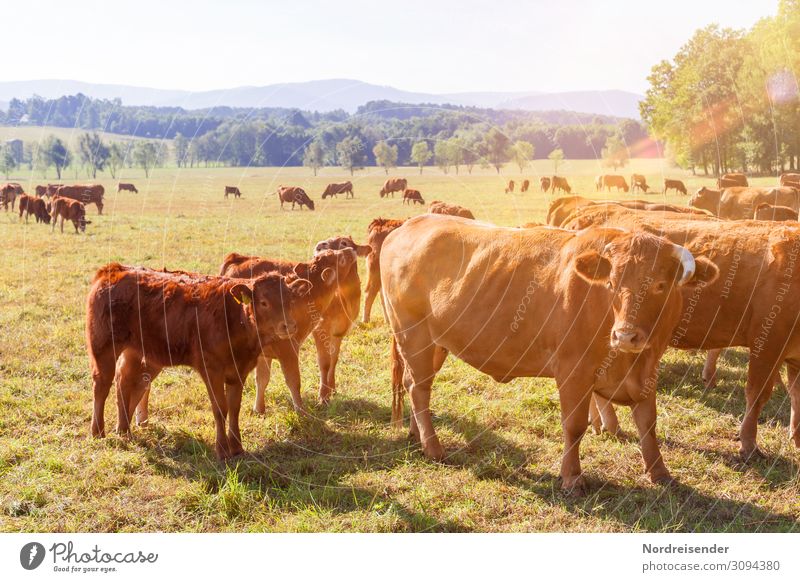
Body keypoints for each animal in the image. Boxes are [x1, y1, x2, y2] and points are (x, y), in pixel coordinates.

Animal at [86, 264, 308, 460]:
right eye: (263, 302)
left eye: (290, 299)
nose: (288, 325)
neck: (235, 318)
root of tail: (114, 269)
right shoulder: (211, 369)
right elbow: (220, 408)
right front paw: (222, 451)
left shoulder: (240, 370)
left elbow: (234, 407)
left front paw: (237, 448)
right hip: (103, 345)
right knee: (102, 384)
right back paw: (98, 431)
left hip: (138, 352)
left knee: (125, 381)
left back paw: (124, 430)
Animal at [384, 214, 716, 492]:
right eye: (611, 283)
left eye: (660, 285)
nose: (625, 335)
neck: (630, 360)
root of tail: (410, 224)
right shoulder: (573, 372)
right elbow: (574, 425)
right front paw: (572, 477)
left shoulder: (647, 371)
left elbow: (648, 423)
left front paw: (660, 473)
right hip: (414, 336)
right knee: (419, 388)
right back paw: (433, 448)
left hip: (436, 343)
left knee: (415, 387)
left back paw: (417, 435)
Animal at [560, 209, 800, 456]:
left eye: (659, 285)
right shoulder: (768, 343)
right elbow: (757, 394)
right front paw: (749, 444)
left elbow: (796, 395)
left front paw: (797, 438)